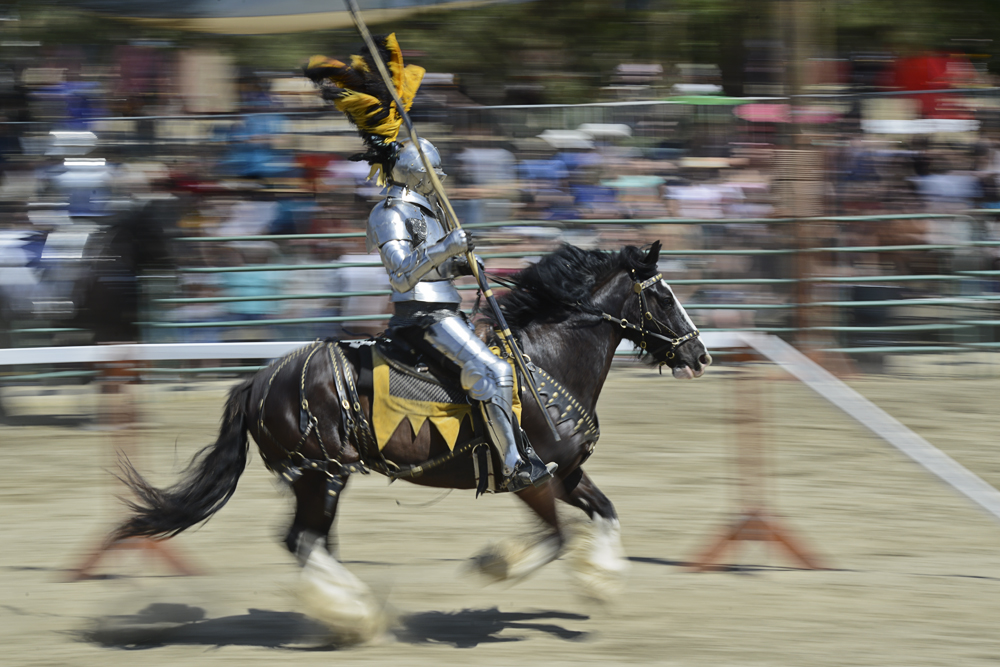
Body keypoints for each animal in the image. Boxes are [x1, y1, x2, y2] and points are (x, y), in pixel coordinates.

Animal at [109, 241, 712, 640]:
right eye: (662, 297)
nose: (699, 353)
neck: (544, 364)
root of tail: (257, 381)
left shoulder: (566, 473)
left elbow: (606, 512)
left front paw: (603, 584)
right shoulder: (530, 478)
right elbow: (557, 538)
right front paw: (495, 565)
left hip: (320, 479)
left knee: (309, 542)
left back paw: (345, 610)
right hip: (322, 474)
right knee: (304, 541)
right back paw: (356, 613)